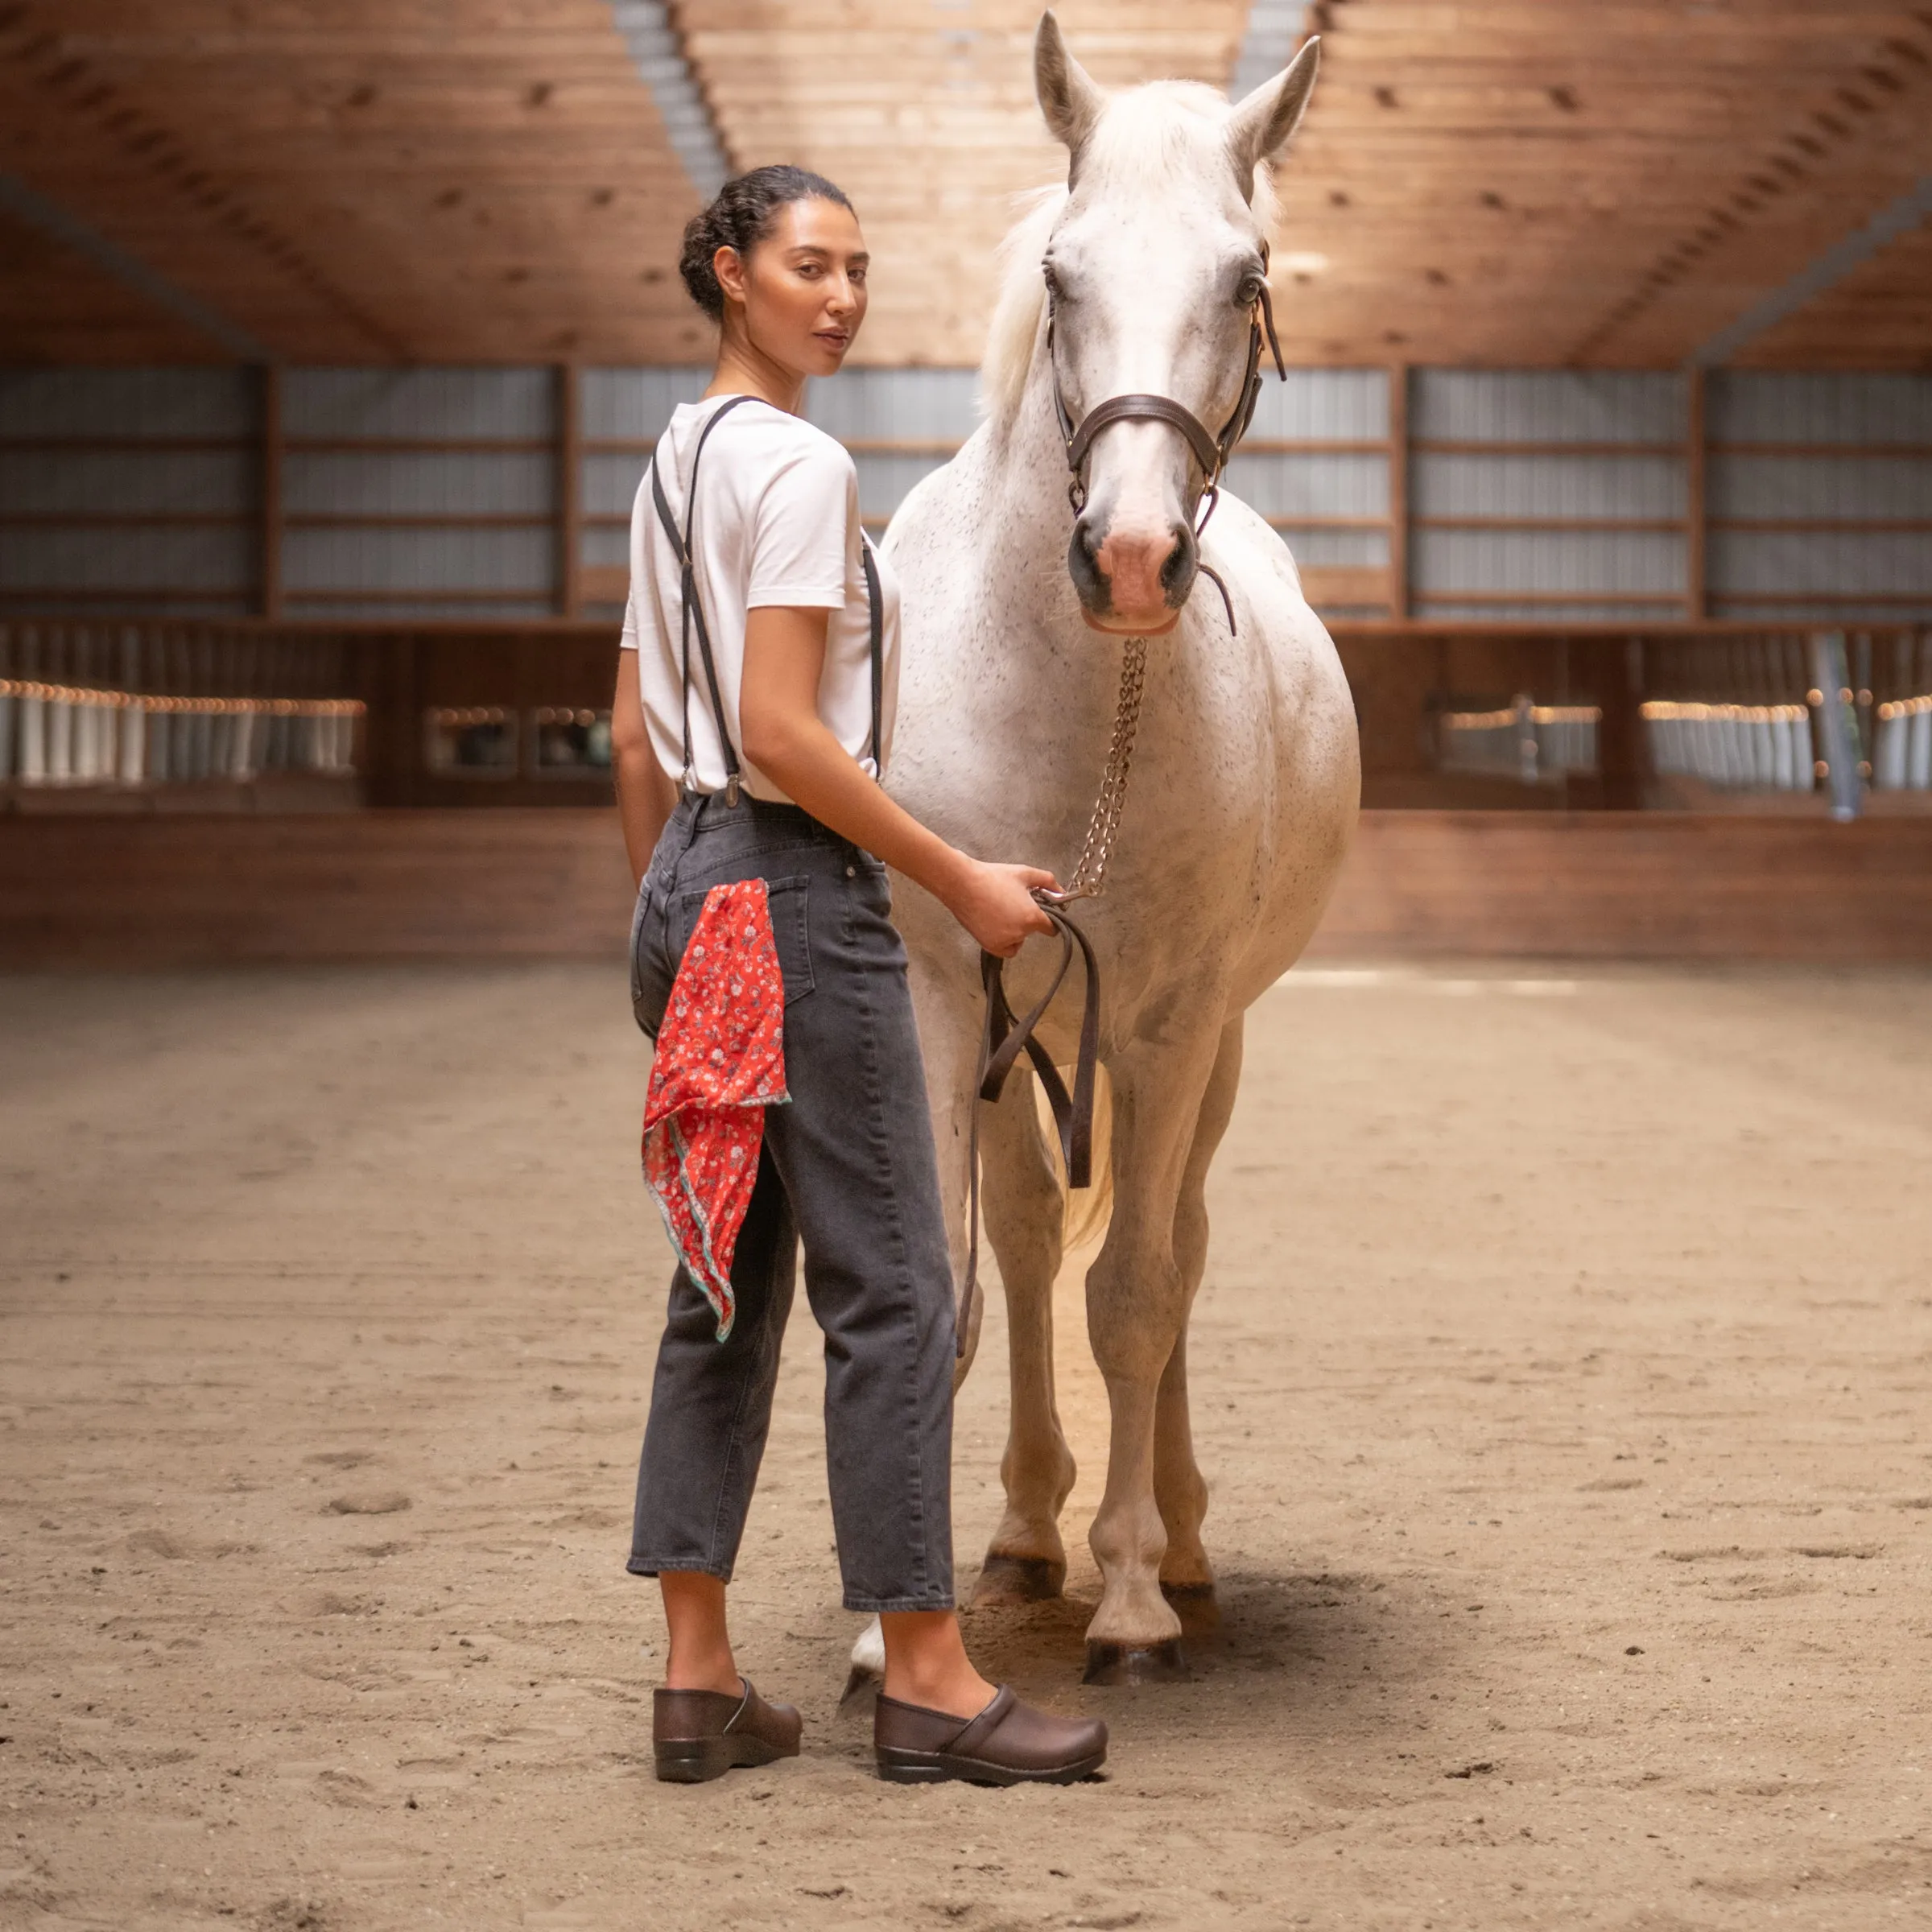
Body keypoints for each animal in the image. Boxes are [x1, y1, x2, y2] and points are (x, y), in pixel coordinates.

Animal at [881, 11, 1360, 1677]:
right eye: (1060, 272)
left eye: (1248, 275)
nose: (1137, 559)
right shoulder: (944, 994)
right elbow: (963, 1286)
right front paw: (891, 1631)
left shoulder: (1166, 1023)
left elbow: (1141, 1297)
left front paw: (1140, 1597)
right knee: (1033, 1245)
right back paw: (1028, 1534)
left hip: (1203, 1050)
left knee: (1177, 1250)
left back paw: (1178, 1546)